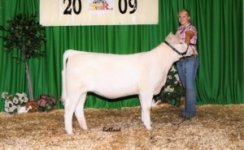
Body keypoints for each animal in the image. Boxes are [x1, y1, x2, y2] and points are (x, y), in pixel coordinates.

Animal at [61, 32, 193, 134]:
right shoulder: (147, 89)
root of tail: (74, 54)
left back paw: (84, 127)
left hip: (82, 92)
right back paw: (70, 132)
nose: (193, 49)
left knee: (78, 108)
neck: (161, 64)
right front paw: (149, 127)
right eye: (181, 42)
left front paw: (144, 122)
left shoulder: (142, 91)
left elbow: (143, 107)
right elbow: (147, 107)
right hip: (74, 91)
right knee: (68, 109)